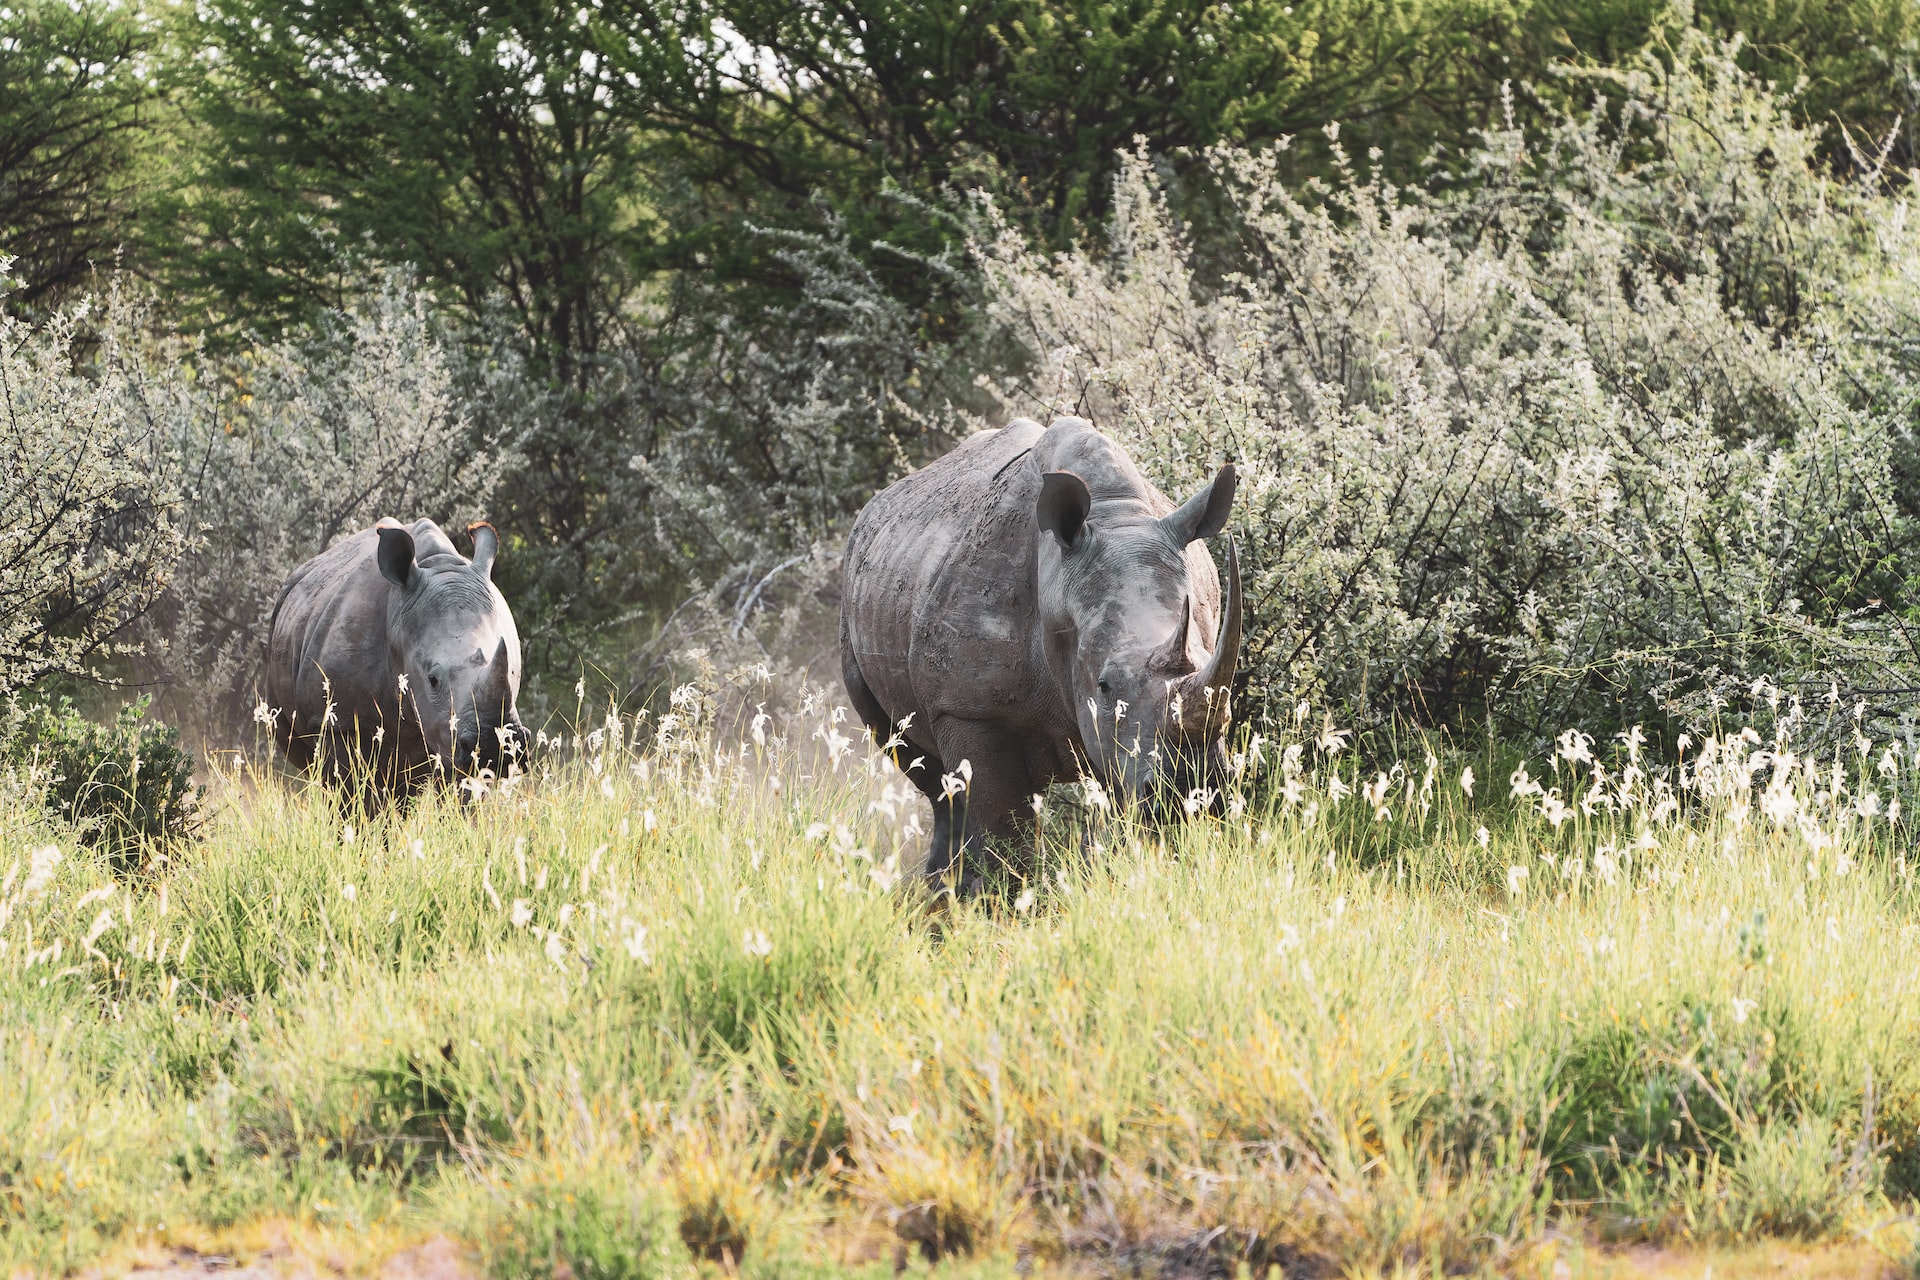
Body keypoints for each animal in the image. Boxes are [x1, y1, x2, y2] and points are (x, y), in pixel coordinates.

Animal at [266, 518, 529, 794]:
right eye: (432, 680)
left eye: (512, 672)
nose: (492, 748)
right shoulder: (336, 722)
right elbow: (347, 789)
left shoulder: (448, 736)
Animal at [844, 416, 1244, 886]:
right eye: (1104, 686)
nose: (1189, 790)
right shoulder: (968, 709)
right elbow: (1001, 835)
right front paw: (1000, 900)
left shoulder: (1119, 745)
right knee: (923, 772)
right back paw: (943, 892)